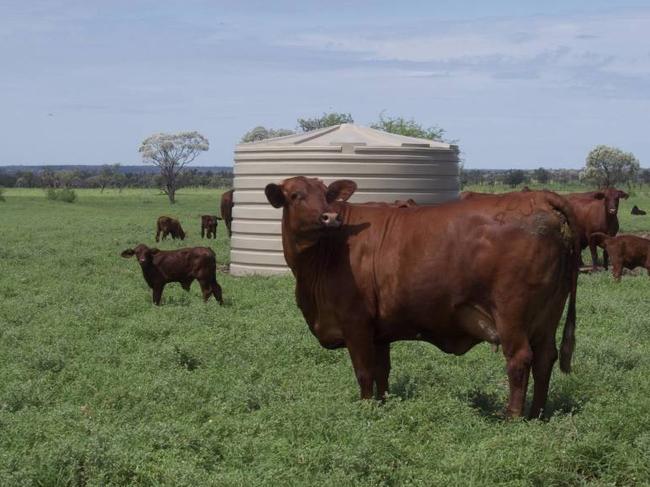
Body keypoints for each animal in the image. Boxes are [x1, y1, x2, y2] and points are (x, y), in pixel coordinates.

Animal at [264, 178, 576, 420]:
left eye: (326, 193)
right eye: (296, 195)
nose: (330, 217)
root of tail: (539, 197)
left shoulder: (356, 323)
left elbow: (364, 372)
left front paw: (366, 412)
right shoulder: (379, 332)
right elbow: (382, 372)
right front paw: (383, 406)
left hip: (511, 312)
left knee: (520, 360)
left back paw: (512, 418)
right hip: (547, 315)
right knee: (544, 358)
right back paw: (537, 415)